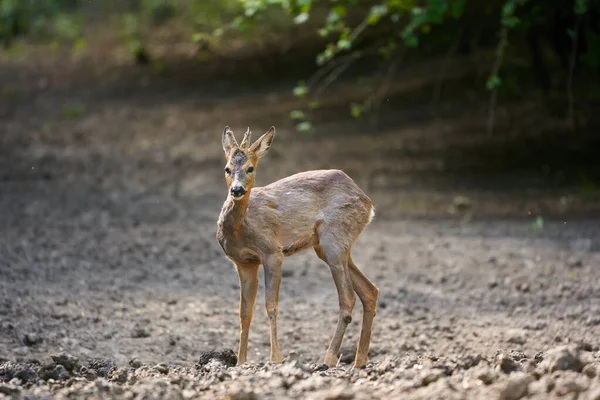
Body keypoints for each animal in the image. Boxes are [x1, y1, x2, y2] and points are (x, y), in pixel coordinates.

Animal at [216, 125, 378, 368]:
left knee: (348, 297)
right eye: (227, 168)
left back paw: (329, 358)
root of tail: (368, 203)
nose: (236, 190)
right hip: (328, 246)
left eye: (250, 168)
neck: (242, 229)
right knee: (370, 290)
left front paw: (276, 358)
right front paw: (240, 362)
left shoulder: (272, 252)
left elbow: (271, 305)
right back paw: (359, 362)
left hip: (334, 238)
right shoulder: (243, 262)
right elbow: (245, 313)